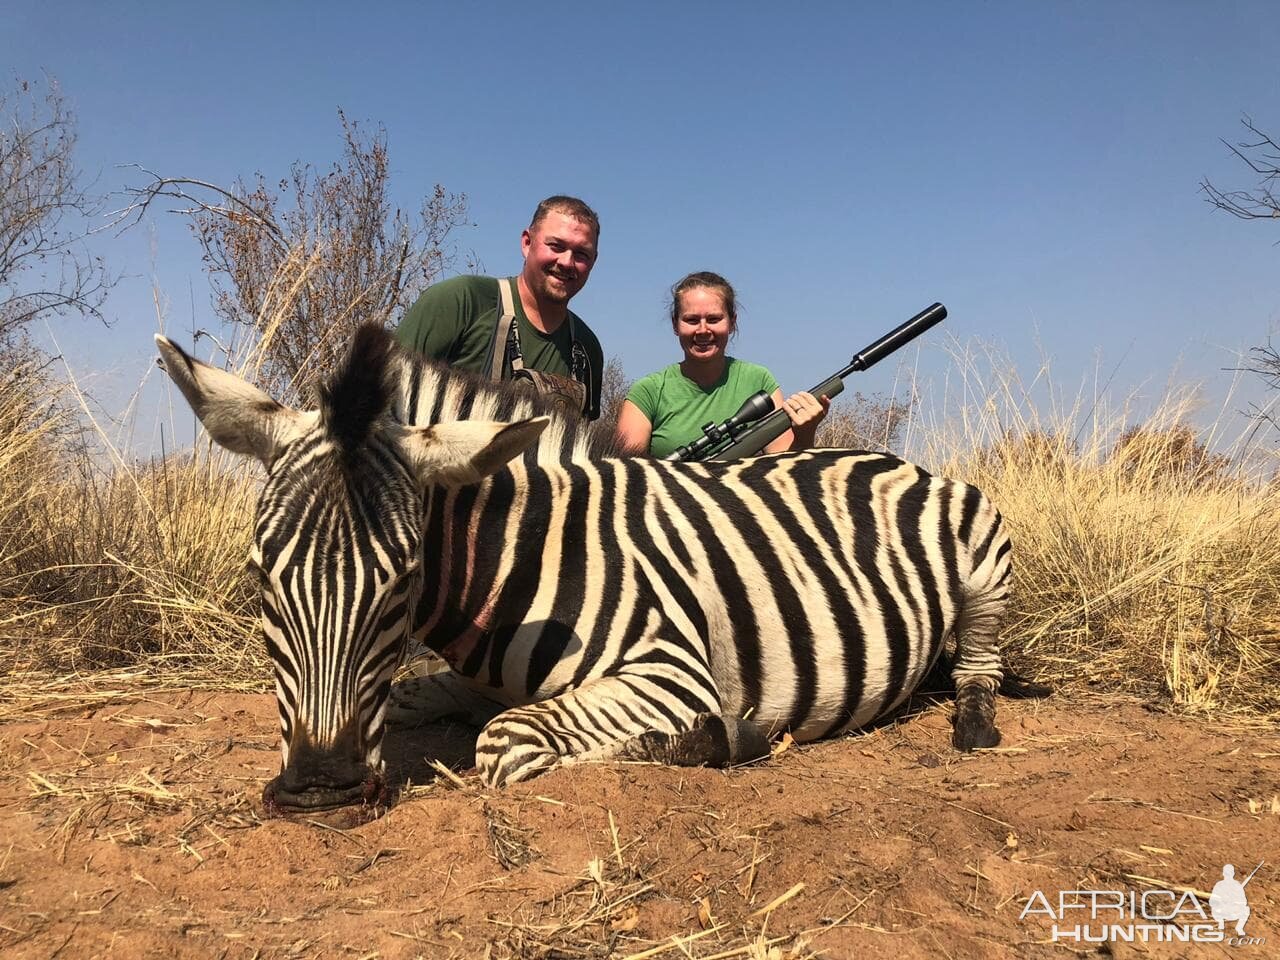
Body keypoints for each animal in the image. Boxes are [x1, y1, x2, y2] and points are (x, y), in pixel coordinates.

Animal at [154, 327, 1044, 814]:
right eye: (259, 576)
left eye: (403, 579)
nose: (321, 791)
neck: (517, 557)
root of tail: (887, 455)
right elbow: (417, 699)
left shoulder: (672, 671)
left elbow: (504, 741)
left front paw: (724, 740)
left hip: (984, 555)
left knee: (981, 666)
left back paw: (973, 724)